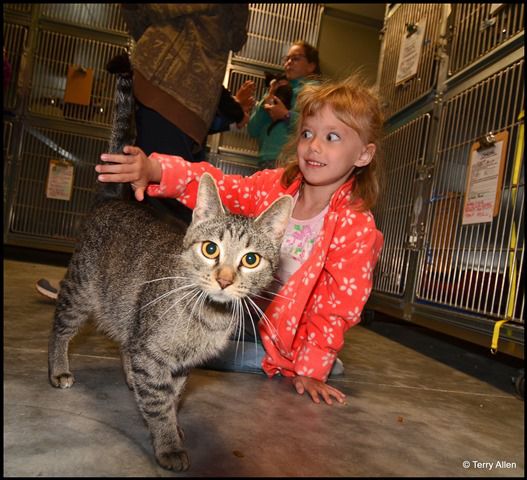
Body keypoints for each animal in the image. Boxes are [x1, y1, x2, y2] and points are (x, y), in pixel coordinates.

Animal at [48, 53, 292, 472]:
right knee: (61, 328)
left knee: (124, 343)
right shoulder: (152, 353)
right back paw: (58, 367)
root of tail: (112, 199)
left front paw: (174, 425)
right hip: (80, 291)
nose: (224, 279)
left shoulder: (180, 366)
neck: (207, 318)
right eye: (210, 249)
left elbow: (173, 396)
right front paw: (168, 443)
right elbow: (160, 403)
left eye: (251, 259)